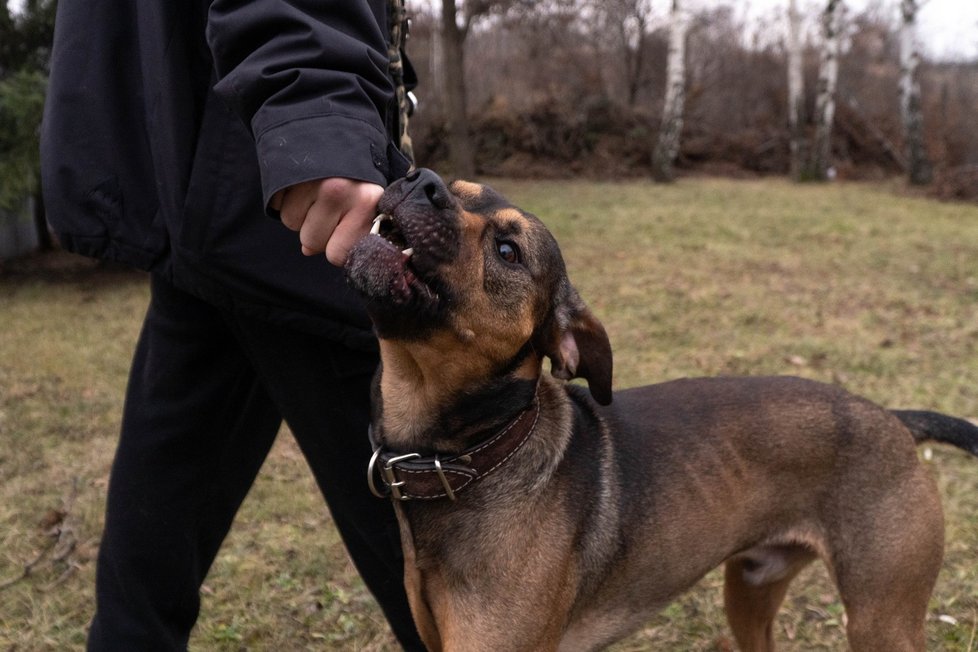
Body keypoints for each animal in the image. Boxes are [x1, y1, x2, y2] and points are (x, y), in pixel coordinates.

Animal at [344, 169, 976, 652]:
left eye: (507, 251)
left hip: (881, 620)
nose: (419, 179)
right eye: (455, 186)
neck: (472, 456)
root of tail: (893, 418)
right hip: (750, 588)